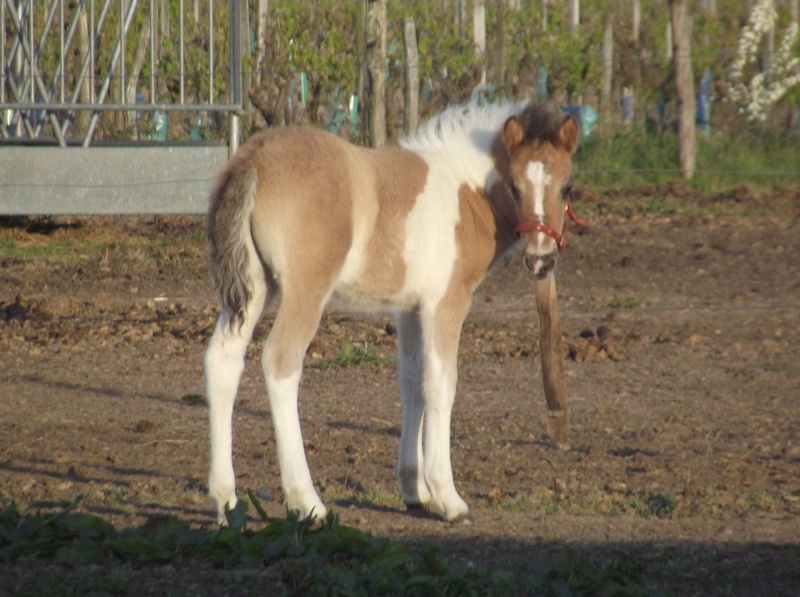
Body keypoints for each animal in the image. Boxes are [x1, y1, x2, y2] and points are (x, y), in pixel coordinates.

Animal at [203, 102, 580, 520]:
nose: (541, 261)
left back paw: (225, 498)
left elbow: (413, 382)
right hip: (305, 291)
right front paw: (448, 496)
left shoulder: (410, 309)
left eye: (567, 187)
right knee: (280, 363)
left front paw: (415, 490)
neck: (465, 190)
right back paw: (307, 501)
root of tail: (254, 158)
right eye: (514, 186)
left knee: (222, 361)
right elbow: (442, 384)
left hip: (256, 286)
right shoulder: (446, 302)